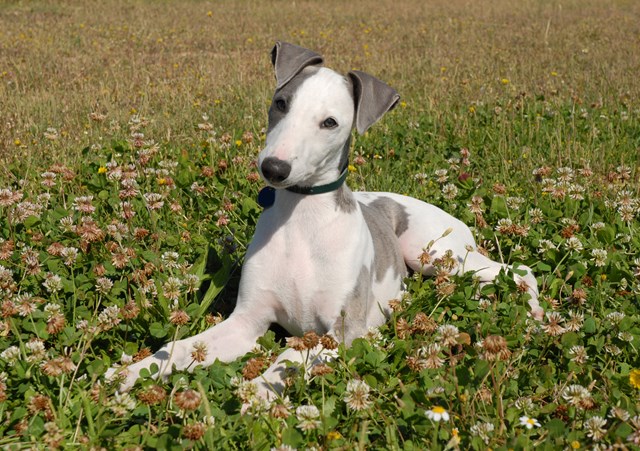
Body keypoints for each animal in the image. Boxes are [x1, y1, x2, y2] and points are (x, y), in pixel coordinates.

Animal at [109, 39, 540, 400]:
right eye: (281, 102)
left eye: (330, 122)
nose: (274, 168)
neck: (302, 219)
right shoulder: (247, 322)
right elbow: (180, 347)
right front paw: (128, 374)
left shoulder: (340, 334)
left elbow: (286, 360)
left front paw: (258, 393)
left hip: (434, 254)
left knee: (520, 270)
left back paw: (535, 317)